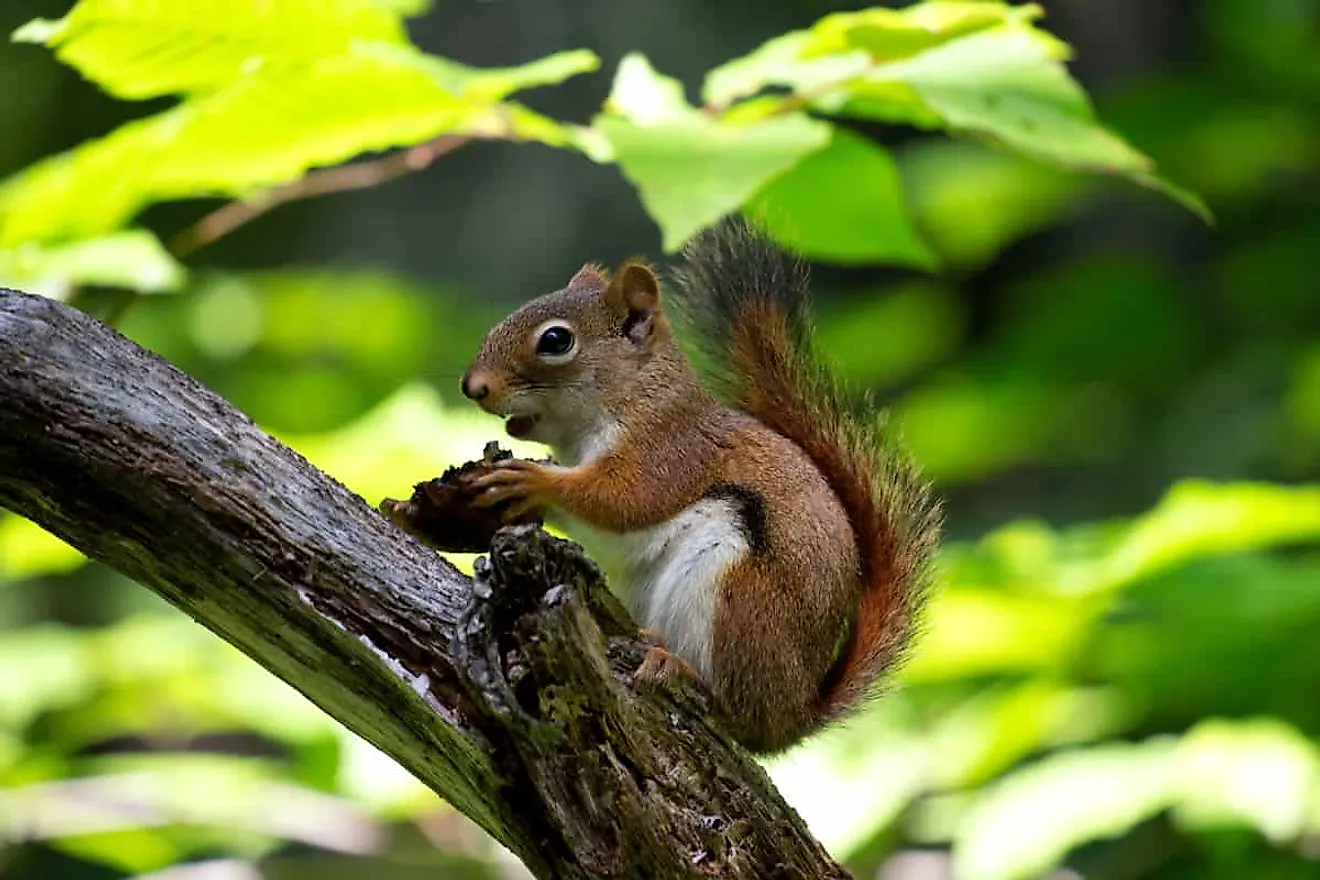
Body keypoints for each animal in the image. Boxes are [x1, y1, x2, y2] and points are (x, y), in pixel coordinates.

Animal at [464, 219, 939, 749]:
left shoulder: (670, 452)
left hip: (738, 597)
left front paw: (533, 479)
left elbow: (623, 500)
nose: (474, 387)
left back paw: (679, 669)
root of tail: (792, 717)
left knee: (735, 710)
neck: (637, 395)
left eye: (554, 341)